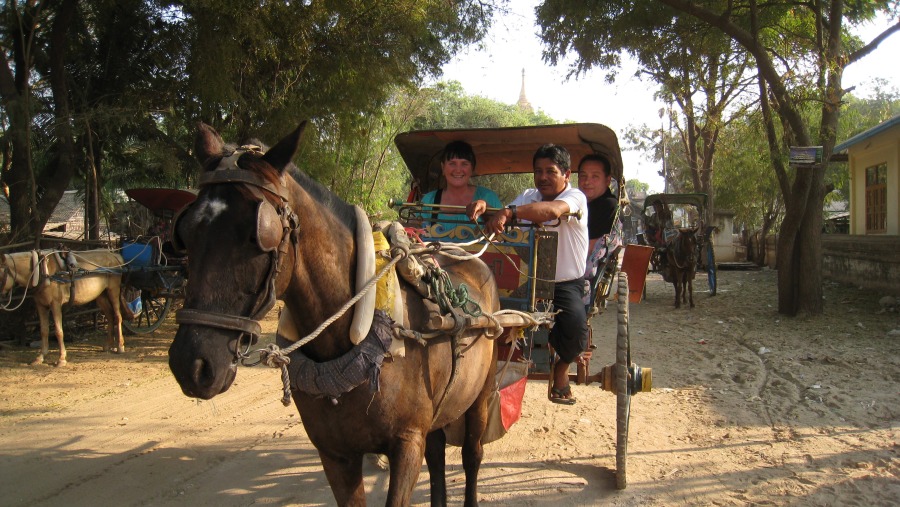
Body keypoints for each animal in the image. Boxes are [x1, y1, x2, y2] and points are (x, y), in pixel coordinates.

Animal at [0, 249, 132, 366]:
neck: (42, 271)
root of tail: (114, 255)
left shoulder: (55, 304)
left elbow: (59, 332)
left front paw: (61, 359)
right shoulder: (41, 306)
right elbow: (44, 331)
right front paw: (40, 357)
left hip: (113, 291)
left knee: (117, 316)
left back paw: (120, 346)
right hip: (101, 296)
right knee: (110, 316)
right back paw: (108, 345)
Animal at [165, 123, 496, 507]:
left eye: (260, 235)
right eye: (185, 233)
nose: (192, 363)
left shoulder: (407, 444)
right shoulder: (334, 454)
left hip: (483, 391)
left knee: (472, 454)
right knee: (438, 450)